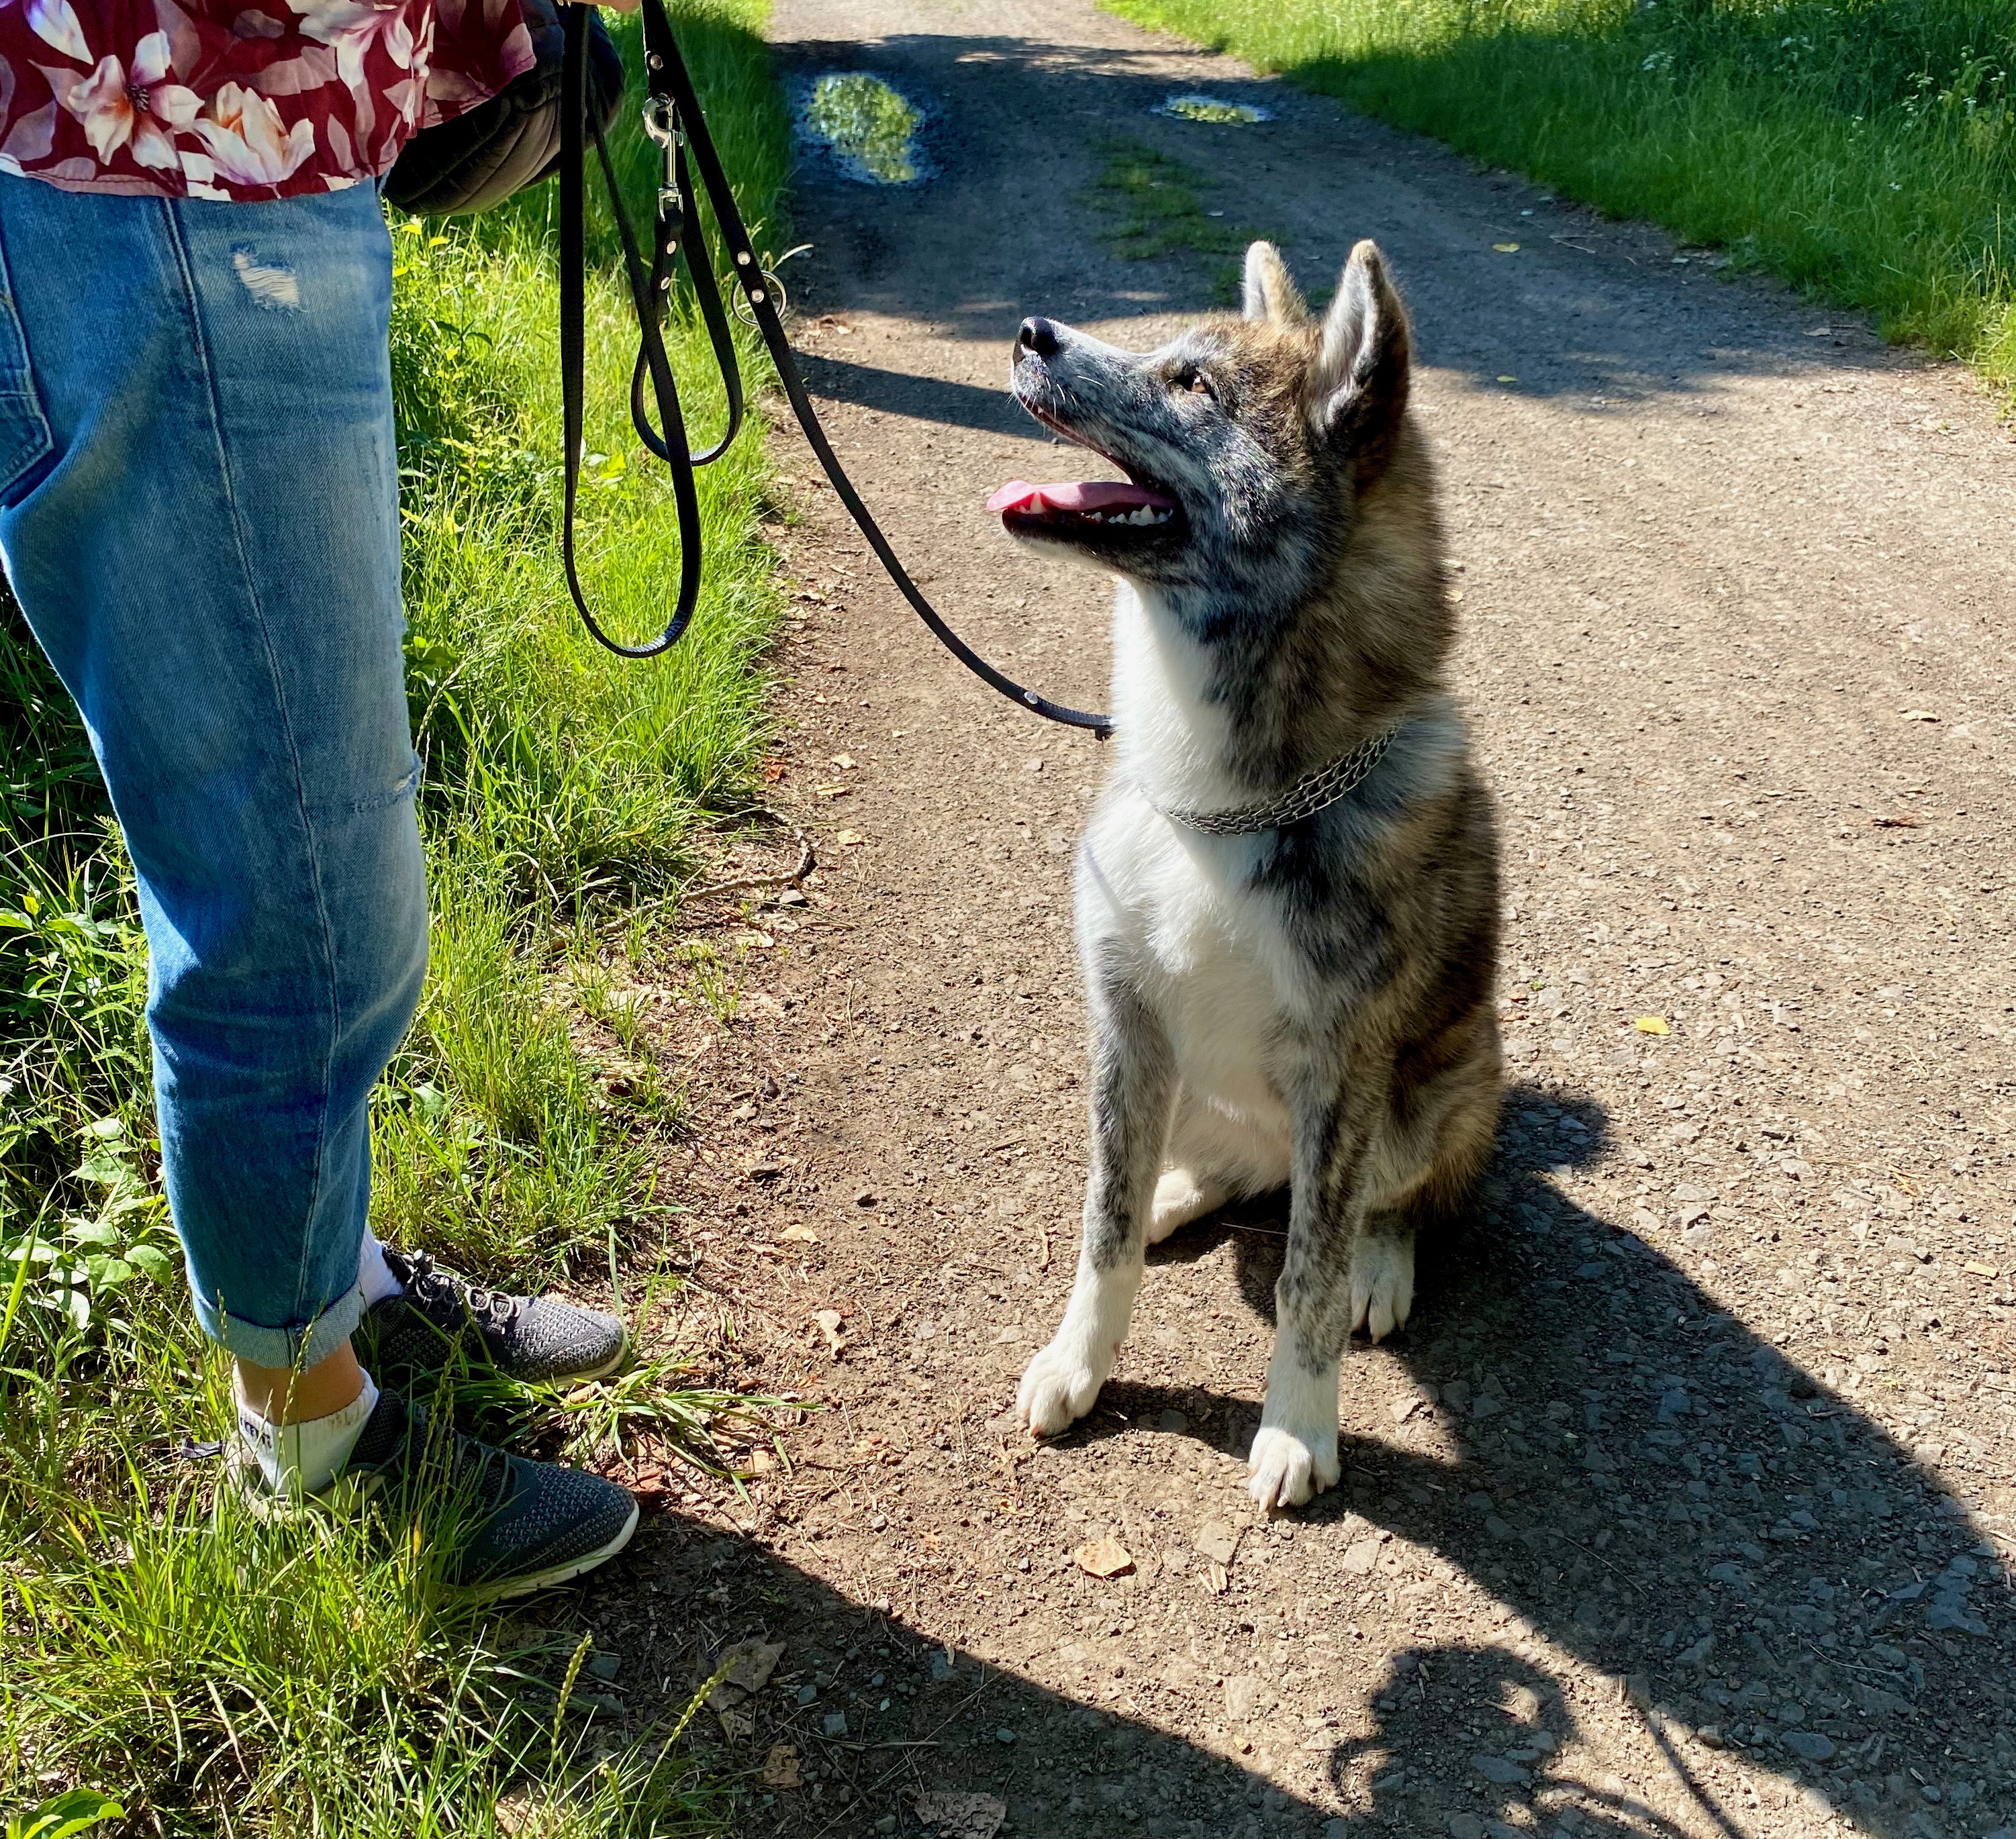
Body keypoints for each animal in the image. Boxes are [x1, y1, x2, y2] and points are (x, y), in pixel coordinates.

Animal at [988, 241, 1500, 1508]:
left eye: (1192, 385)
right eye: (1170, 356)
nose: (1028, 331)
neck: (1228, 805)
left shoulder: (1341, 1077)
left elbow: (1304, 1280)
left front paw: (1298, 1431)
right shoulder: (1127, 1031)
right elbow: (1101, 1228)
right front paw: (1078, 1363)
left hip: (1439, 1086)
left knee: (1391, 1202)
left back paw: (1379, 1266)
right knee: (1213, 1173)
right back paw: (1182, 1194)